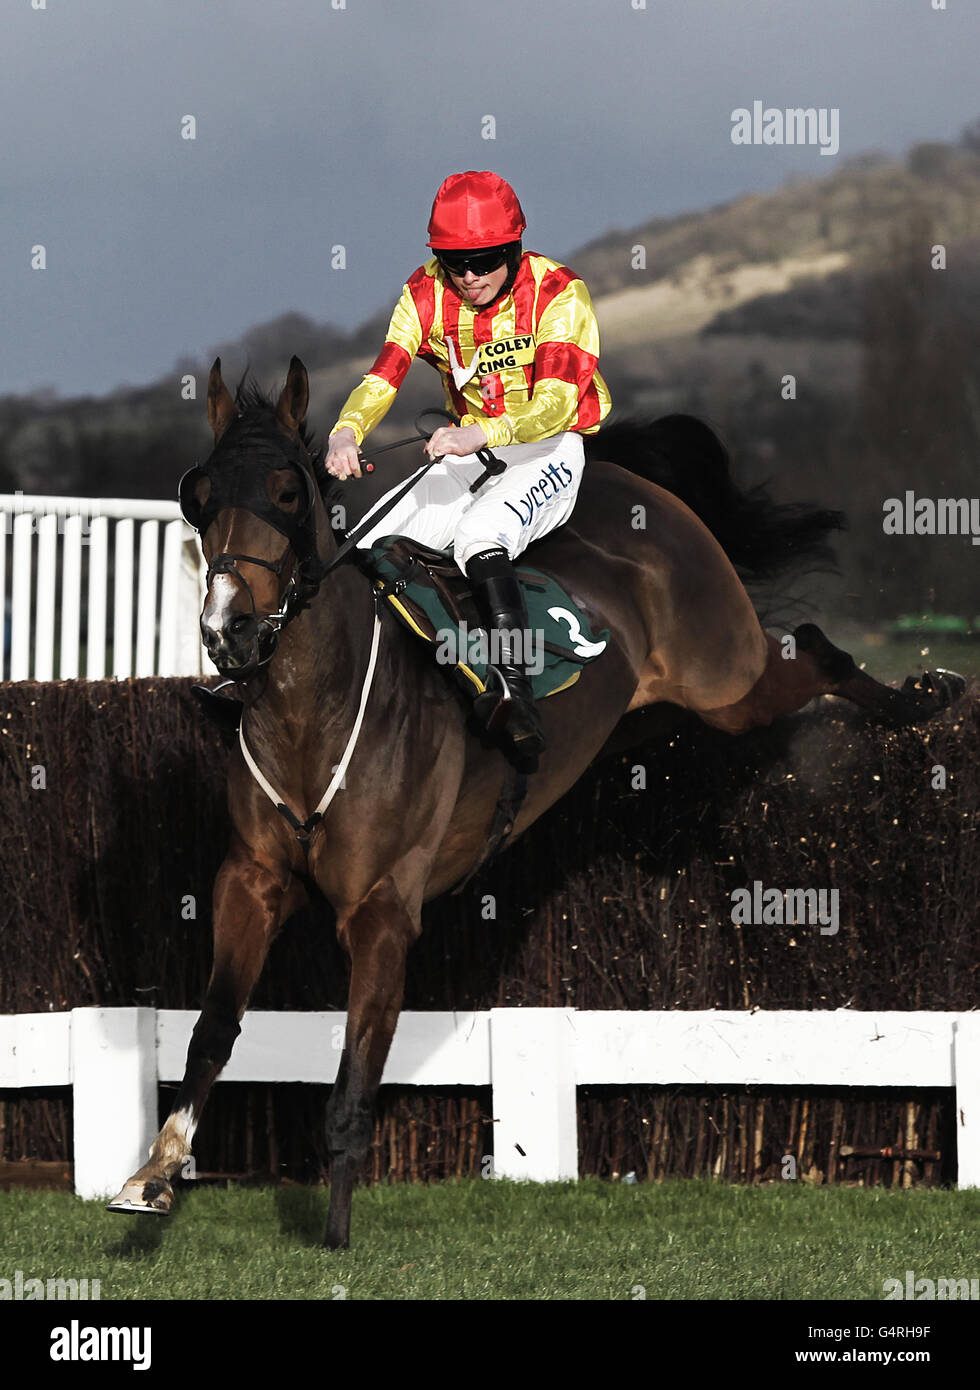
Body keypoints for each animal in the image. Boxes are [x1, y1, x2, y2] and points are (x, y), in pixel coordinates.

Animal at [107, 358, 961, 1251]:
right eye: (197, 494)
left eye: (285, 491)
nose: (229, 631)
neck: (317, 712)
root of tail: (632, 482)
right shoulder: (251, 880)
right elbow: (211, 1031)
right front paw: (154, 1174)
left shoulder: (383, 910)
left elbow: (353, 1082)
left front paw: (335, 1233)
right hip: (646, 716)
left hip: (726, 677)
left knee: (815, 651)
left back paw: (924, 698)